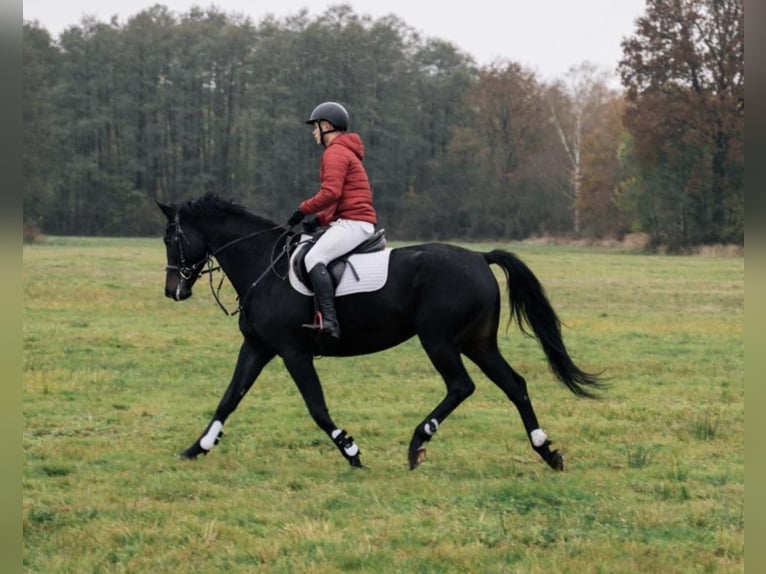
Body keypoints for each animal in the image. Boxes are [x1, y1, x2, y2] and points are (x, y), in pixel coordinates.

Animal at [158, 194, 603, 471]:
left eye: (170, 237)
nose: (172, 291)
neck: (265, 268)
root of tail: (479, 257)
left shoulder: (292, 352)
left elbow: (317, 408)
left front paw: (351, 450)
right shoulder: (258, 347)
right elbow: (228, 399)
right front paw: (196, 449)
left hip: (439, 341)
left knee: (462, 386)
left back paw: (418, 442)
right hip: (477, 342)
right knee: (515, 385)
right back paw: (546, 451)